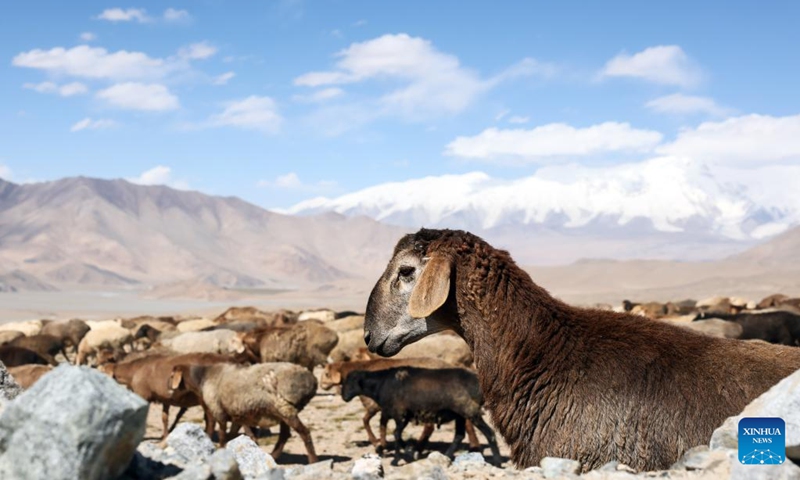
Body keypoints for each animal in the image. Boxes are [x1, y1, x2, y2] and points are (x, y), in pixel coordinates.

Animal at [169, 361, 318, 463]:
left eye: (172, 375)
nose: (169, 389)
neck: (202, 378)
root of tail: (311, 380)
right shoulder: (238, 415)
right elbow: (237, 435)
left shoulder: (219, 411)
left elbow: (222, 435)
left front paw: (220, 451)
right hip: (282, 410)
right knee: (285, 435)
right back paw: (273, 456)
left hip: (285, 407)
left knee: (304, 433)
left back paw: (313, 461)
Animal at [321, 357, 483, 453]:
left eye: (326, 374)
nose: (322, 385)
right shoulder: (384, 408)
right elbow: (380, 424)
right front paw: (383, 444)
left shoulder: (374, 406)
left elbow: (366, 421)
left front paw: (377, 443)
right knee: (467, 421)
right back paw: (474, 446)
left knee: (430, 426)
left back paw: (418, 447)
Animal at [342, 366, 501, 466]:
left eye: (351, 382)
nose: (344, 397)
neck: (381, 384)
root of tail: (478, 384)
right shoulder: (404, 415)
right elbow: (398, 435)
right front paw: (408, 452)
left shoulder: (400, 414)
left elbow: (396, 434)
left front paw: (397, 459)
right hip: (460, 414)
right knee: (459, 436)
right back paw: (446, 456)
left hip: (469, 410)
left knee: (490, 433)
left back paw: (498, 461)